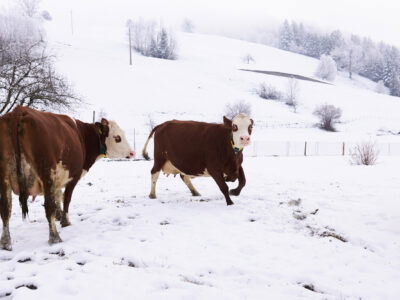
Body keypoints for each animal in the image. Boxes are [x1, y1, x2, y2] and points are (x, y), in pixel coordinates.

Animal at [0, 106, 134, 251]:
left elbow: (58, 196)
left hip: (4, 178)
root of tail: (20, 110)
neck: (82, 135)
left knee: (5, 209)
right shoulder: (73, 177)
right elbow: (66, 199)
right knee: (48, 207)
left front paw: (59, 216)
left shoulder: (57, 179)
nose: (132, 153)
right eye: (117, 138)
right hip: (46, 173)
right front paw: (65, 221)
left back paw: (6, 242)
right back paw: (55, 238)